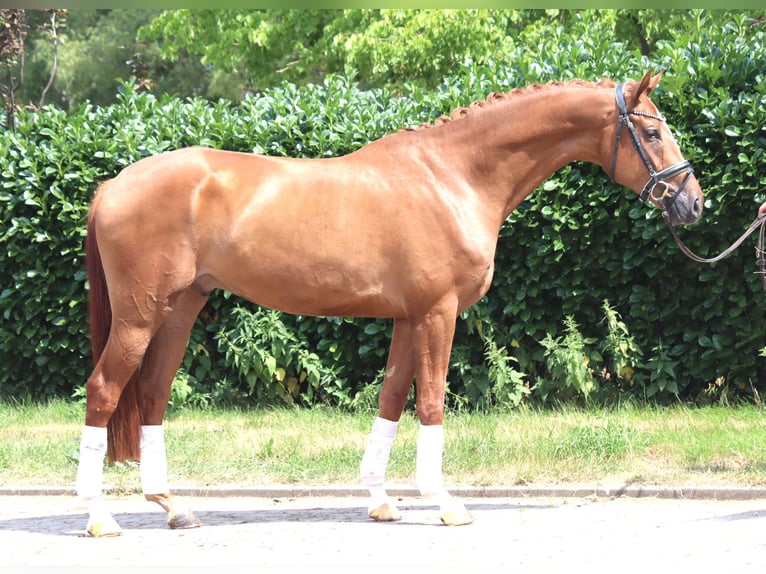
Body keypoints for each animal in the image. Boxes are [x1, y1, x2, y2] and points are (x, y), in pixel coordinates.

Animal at [75, 70, 703, 536]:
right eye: (651, 134)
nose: (692, 203)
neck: (453, 177)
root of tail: (111, 186)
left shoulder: (407, 317)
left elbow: (391, 399)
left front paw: (381, 500)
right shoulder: (437, 313)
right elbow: (430, 402)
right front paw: (445, 503)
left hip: (180, 309)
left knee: (153, 394)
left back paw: (173, 507)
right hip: (139, 316)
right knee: (104, 390)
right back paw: (100, 516)